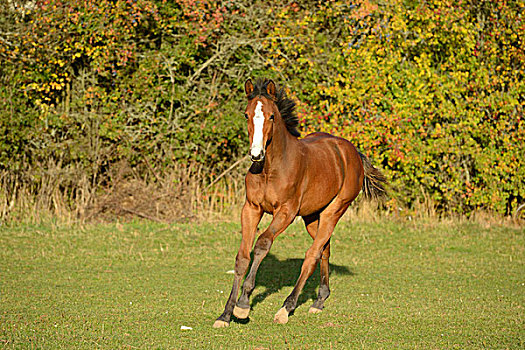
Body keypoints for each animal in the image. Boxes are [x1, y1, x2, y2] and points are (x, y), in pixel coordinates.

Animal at [213, 78, 384, 326]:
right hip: (312, 217)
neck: (270, 168)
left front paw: (243, 305)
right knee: (324, 249)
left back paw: (286, 307)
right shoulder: (251, 209)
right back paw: (319, 301)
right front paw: (226, 314)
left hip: (334, 211)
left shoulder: (286, 211)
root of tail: (352, 152)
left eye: (271, 116)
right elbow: (242, 257)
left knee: (312, 254)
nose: (256, 154)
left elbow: (262, 243)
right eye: (246, 114)